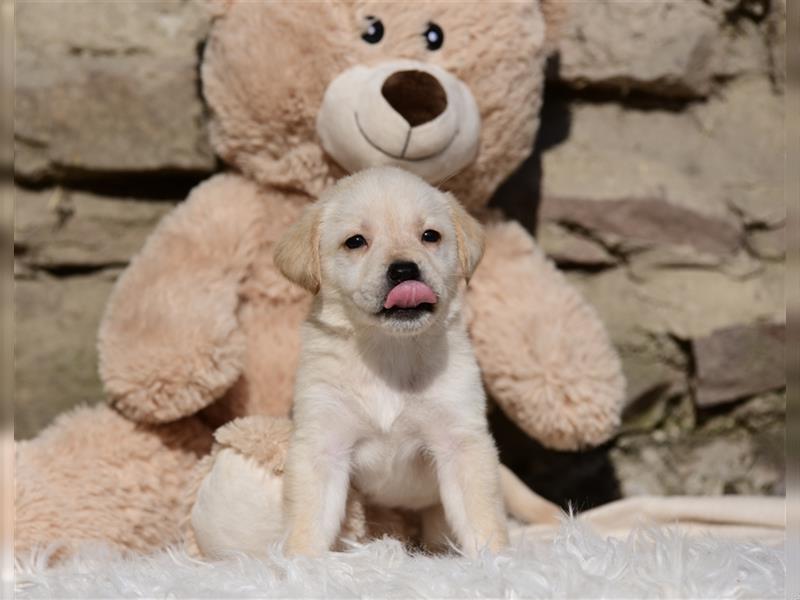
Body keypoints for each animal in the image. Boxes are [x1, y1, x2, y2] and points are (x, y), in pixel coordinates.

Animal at [276, 165, 510, 556]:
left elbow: (482, 519)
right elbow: (308, 521)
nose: (404, 271)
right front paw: (297, 563)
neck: (390, 353)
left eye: (430, 236)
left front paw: (497, 560)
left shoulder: (461, 441)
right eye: (355, 241)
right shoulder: (322, 442)